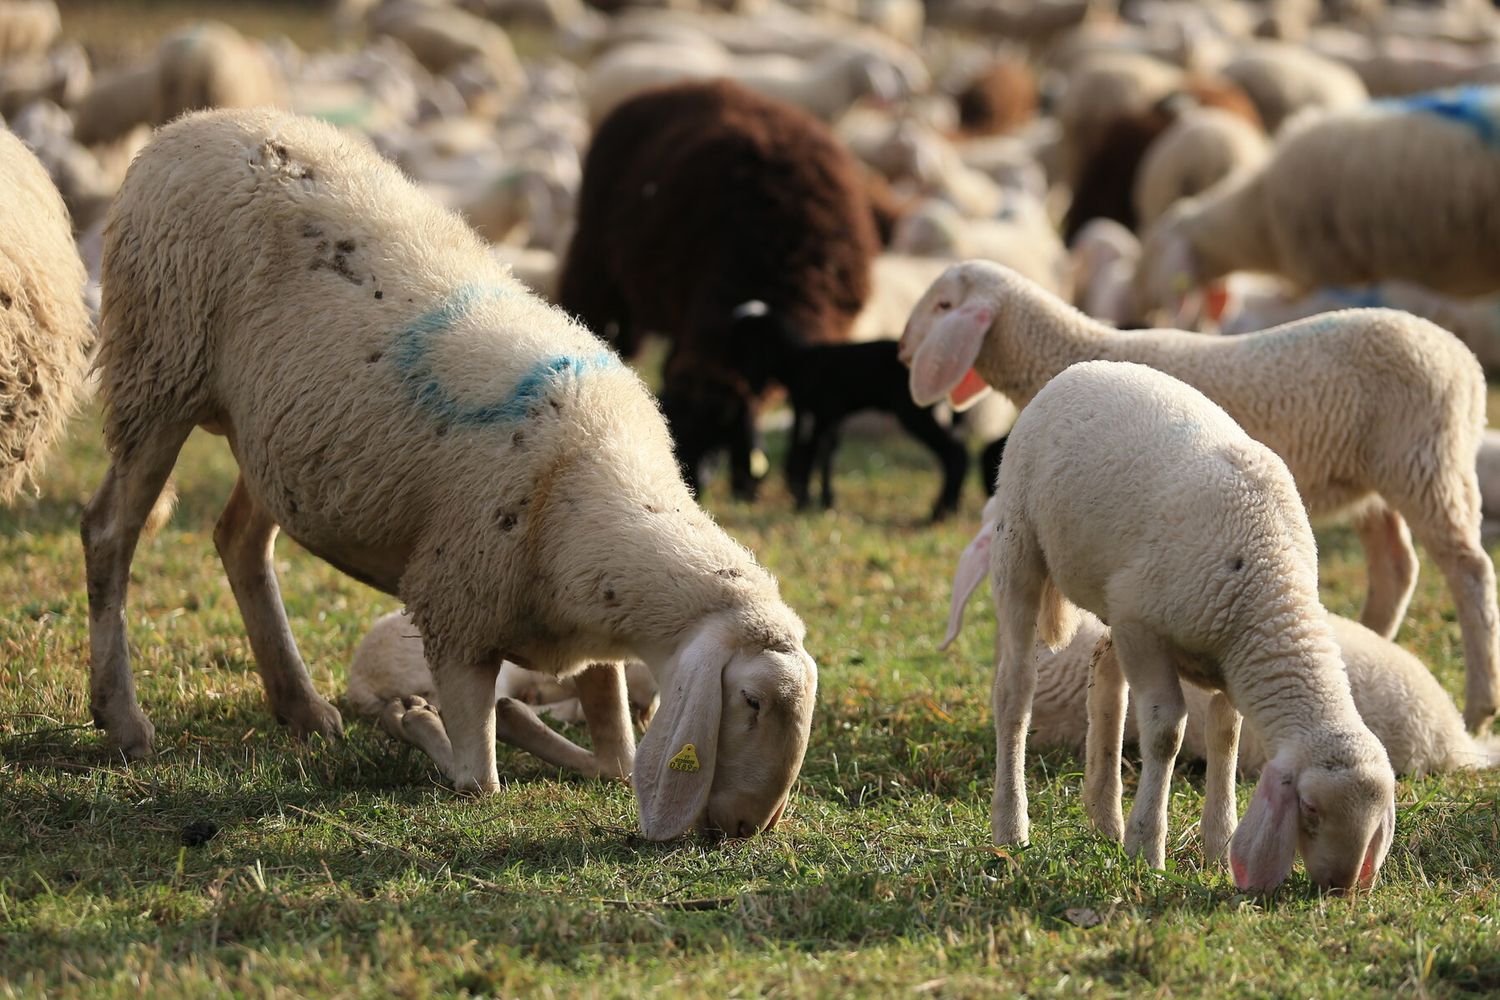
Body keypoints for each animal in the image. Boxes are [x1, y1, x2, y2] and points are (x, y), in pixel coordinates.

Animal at [903, 260, 1499, 734]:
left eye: (944, 304)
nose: (905, 348)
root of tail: (1466, 362)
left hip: (1427, 463)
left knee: (1469, 570)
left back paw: (1479, 706)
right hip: (1379, 483)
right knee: (1396, 568)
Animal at [925, 359, 1396, 891]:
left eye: (1376, 820)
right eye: (1310, 809)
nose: (1338, 887)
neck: (1269, 591)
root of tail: (1084, 367)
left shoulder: (1221, 655)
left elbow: (1225, 734)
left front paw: (1218, 846)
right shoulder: (1145, 629)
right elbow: (1166, 731)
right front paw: (1148, 849)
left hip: (1112, 594)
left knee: (1106, 680)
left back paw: (1105, 819)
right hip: (1020, 542)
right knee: (1015, 688)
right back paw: (1012, 827)